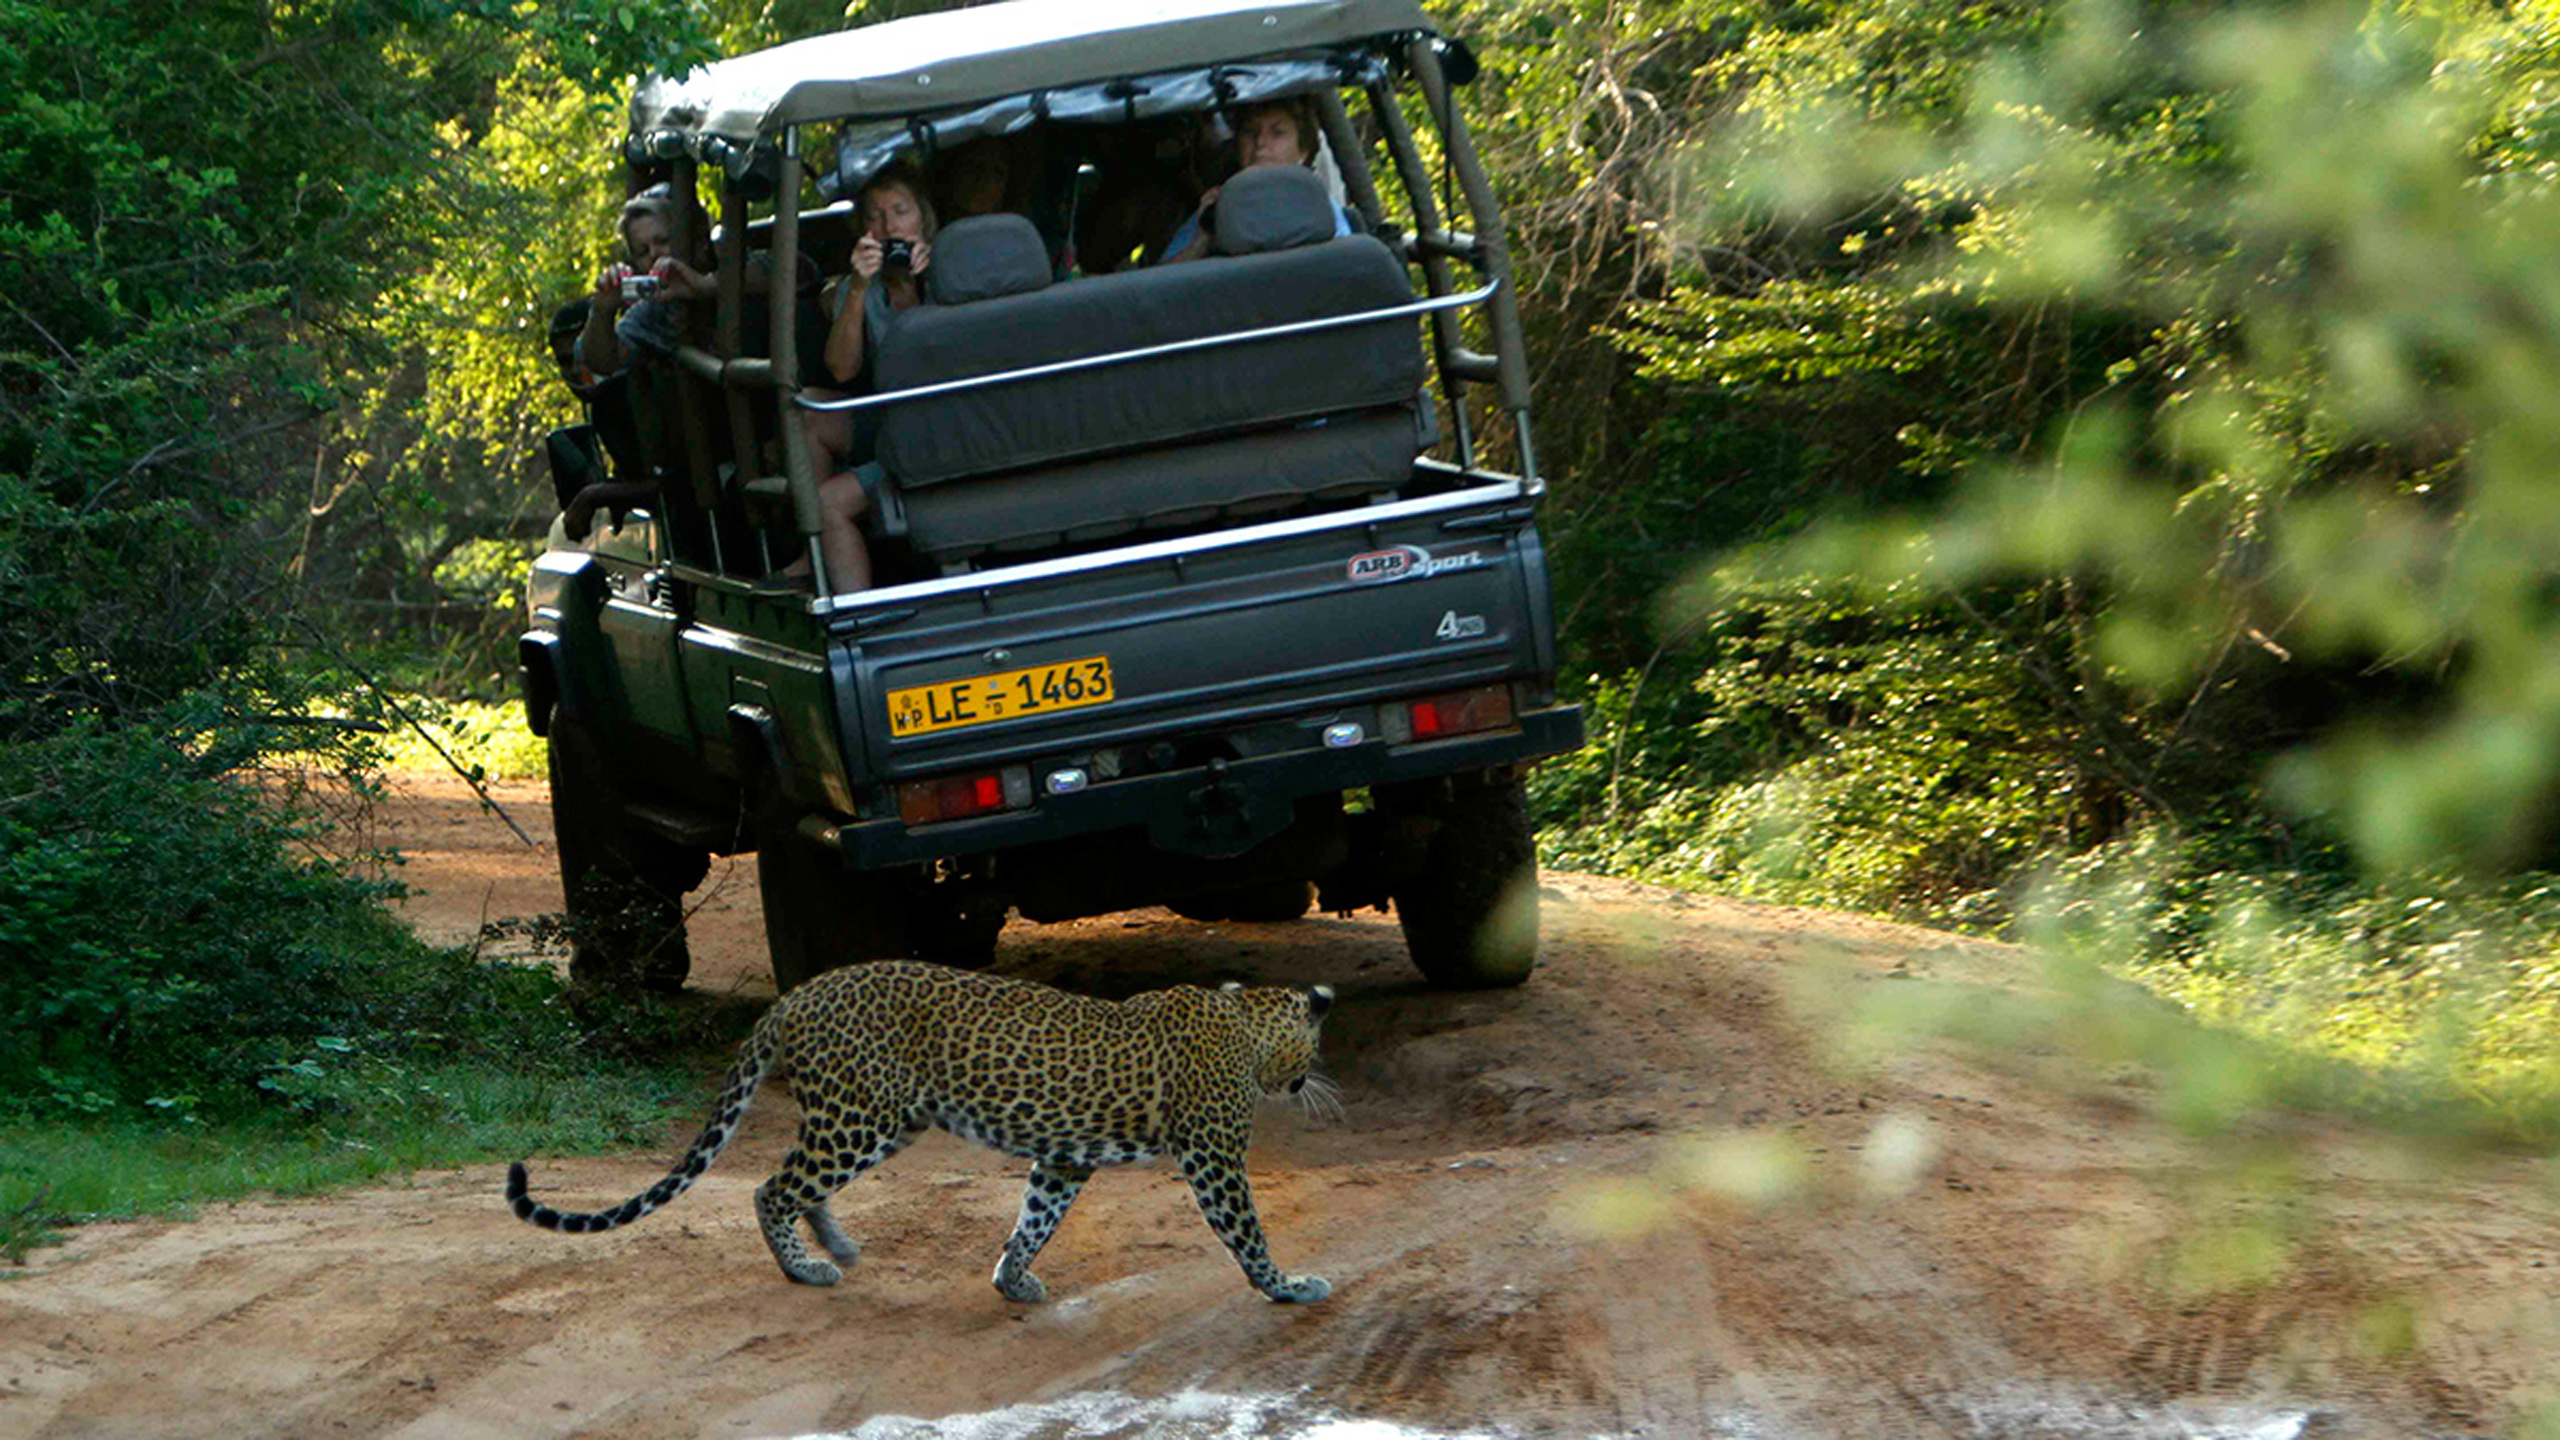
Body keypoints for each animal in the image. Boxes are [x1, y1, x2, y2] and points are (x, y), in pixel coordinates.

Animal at [506, 960, 1339, 1304]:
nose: (1309, 1082)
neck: (1246, 1021)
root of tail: (795, 996)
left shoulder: (1065, 1159)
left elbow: (1035, 1220)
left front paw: (1012, 1281)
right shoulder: (1213, 1157)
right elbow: (1247, 1232)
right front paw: (1288, 1287)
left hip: (879, 1121)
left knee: (797, 1181)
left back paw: (837, 1246)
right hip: (858, 1118)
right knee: (773, 1187)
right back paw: (806, 1270)